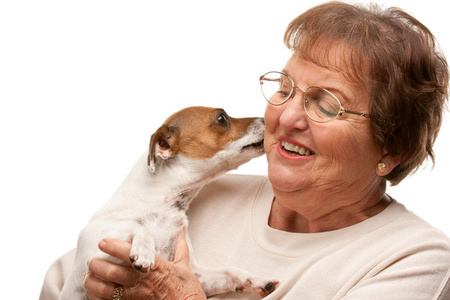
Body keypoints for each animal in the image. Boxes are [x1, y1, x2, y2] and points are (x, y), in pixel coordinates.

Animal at [59, 106, 278, 298]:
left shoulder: (195, 274)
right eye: (222, 118)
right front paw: (144, 251)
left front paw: (255, 280)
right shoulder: (93, 258)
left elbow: (230, 271)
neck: (165, 207)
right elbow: (140, 228)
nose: (266, 119)